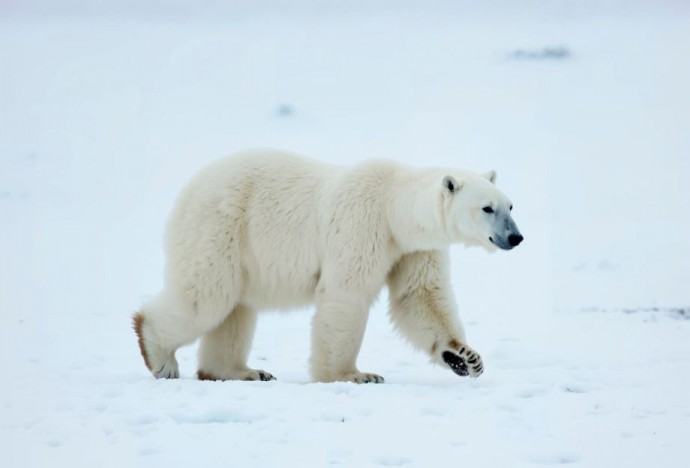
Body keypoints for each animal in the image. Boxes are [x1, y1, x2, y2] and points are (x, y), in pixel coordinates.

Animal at [133, 150, 520, 384]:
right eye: (487, 208)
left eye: (510, 205)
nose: (516, 237)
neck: (394, 207)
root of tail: (189, 189)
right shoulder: (362, 225)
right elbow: (347, 295)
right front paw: (354, 375)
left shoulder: (413, 248)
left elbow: (419, 296)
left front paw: (466, 357)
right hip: (220, 226)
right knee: (207, 294)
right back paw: (158, 354)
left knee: (234, 309)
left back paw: (243, 371)